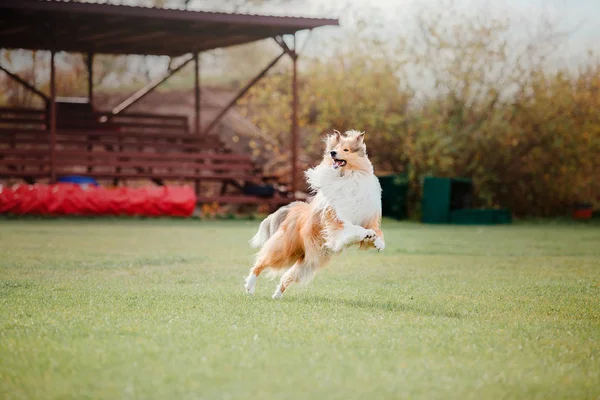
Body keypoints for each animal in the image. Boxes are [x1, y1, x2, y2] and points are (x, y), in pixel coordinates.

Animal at [244, 130, 384, 298]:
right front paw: (367, 234)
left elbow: (378, 231)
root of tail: (296, 209)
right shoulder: (337, 222)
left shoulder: (368, 218)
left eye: (346, 150)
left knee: (287, 276)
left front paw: (378, 242)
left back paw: (277, 295)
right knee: (260, 263)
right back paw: (250, 287)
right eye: (335, 148)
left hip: (308, 262)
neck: (348, 177)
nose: (332, 153)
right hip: (285, 249)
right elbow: (354, 228)